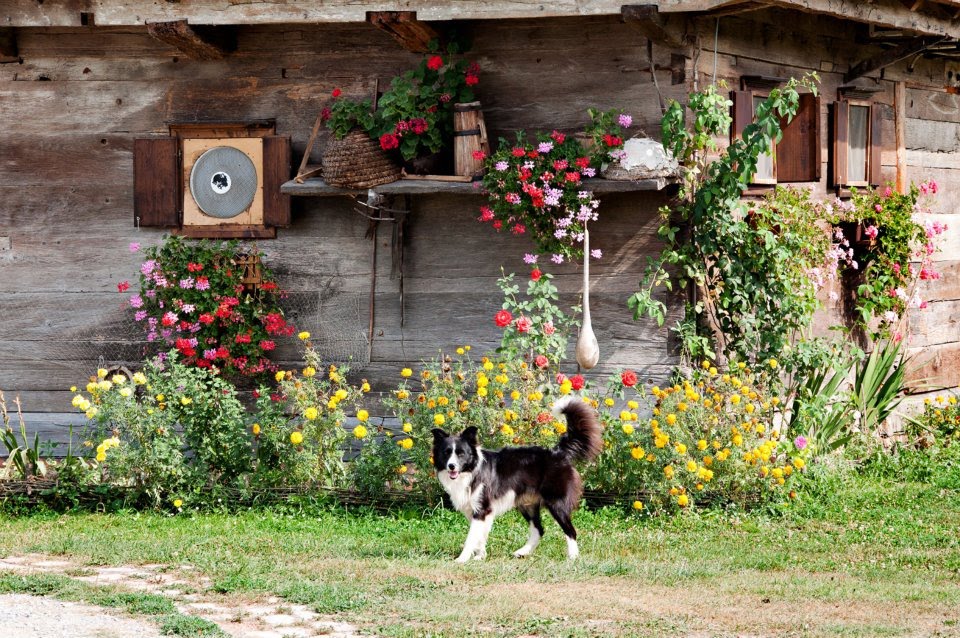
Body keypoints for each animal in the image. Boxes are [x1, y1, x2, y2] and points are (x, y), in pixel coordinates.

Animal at [434, 398, 600, 564]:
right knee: (539, 529)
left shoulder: (482, 508)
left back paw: (573, 556)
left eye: (461, 453)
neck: (470, 471)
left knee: (570, 530)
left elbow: (471, 537)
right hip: (528, 504)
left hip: (556, 503)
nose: (451, 466)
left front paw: (462, 559)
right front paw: (480, 556)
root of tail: (558, 453)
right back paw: (523, 552)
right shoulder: (476, 511)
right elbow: (479, 536)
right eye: (446, 453)